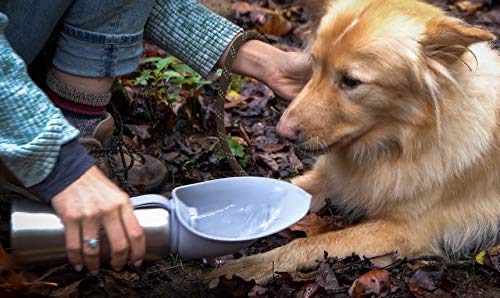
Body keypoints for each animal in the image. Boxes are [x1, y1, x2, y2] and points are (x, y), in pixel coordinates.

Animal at [209, 0, 498, 284]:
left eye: (351, 81)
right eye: (314, 64)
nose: (283, 132)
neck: (395, 145)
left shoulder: (403, 230)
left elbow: (308, 244)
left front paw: (246, 267)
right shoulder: (327, 180)